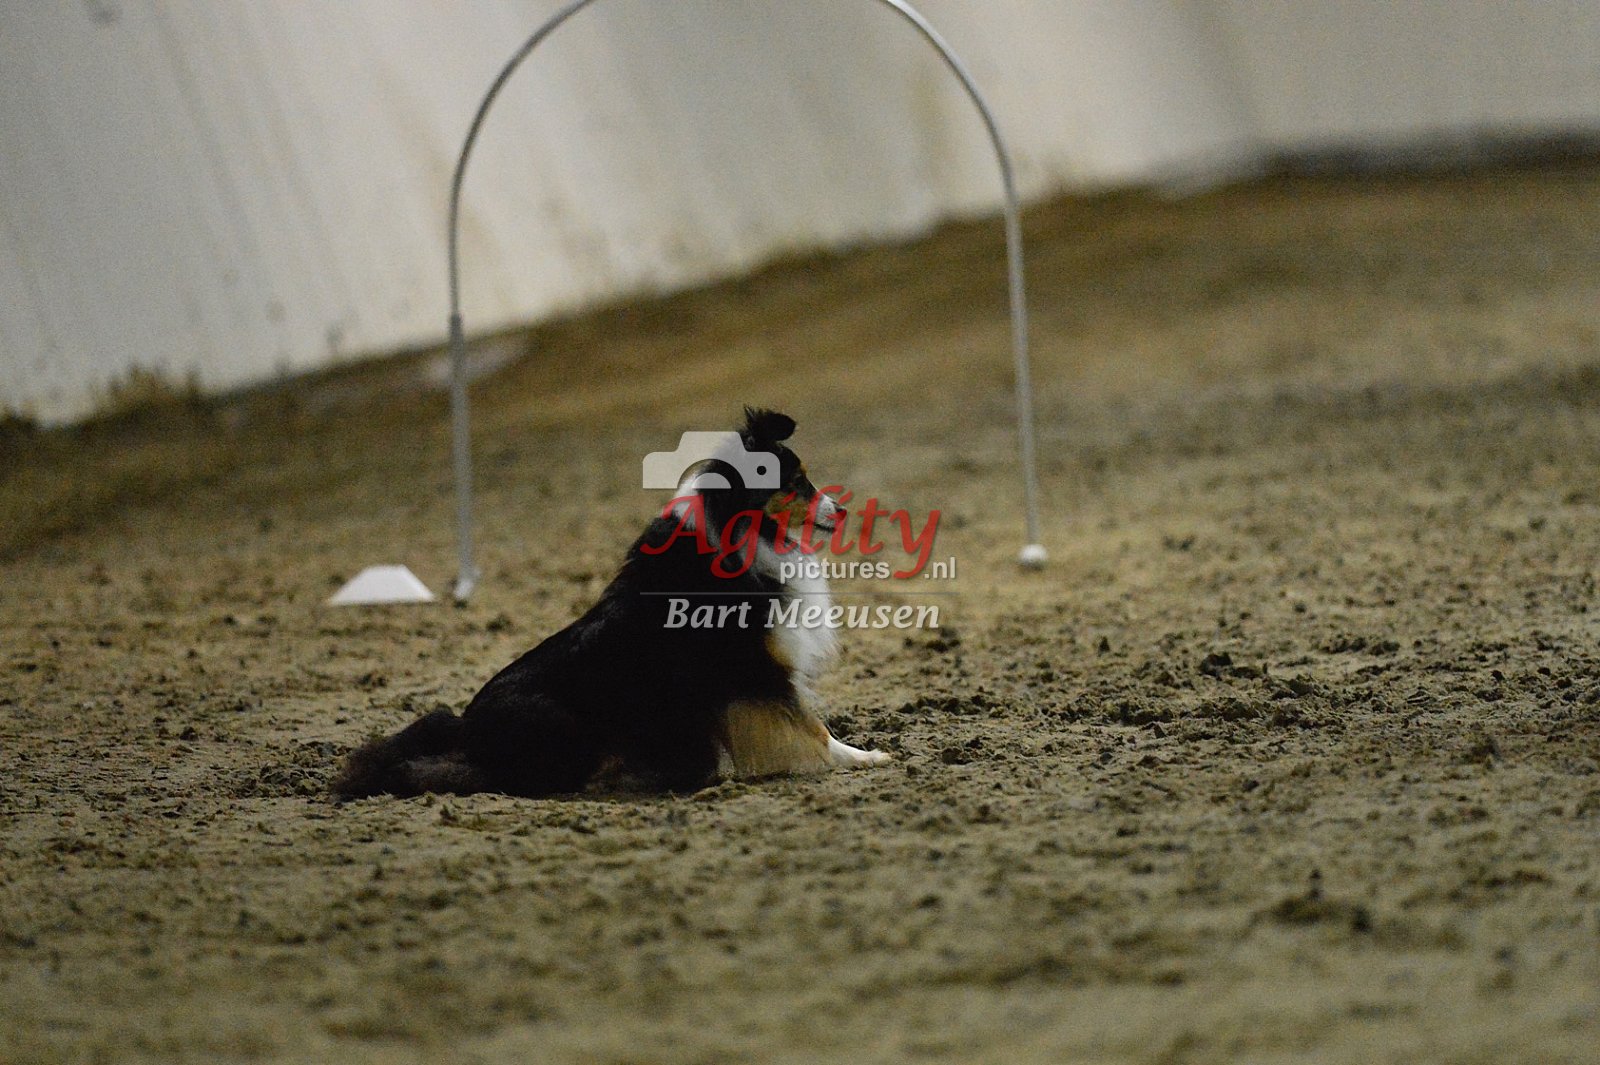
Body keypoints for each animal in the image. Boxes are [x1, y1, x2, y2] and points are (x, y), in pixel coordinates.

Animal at [332, 407, 890, 799]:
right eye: (795, 483)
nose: (843, 510)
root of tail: (468, 727)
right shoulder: (757, 672)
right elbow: (812, 727)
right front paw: (863, 758)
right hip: (566, 731)